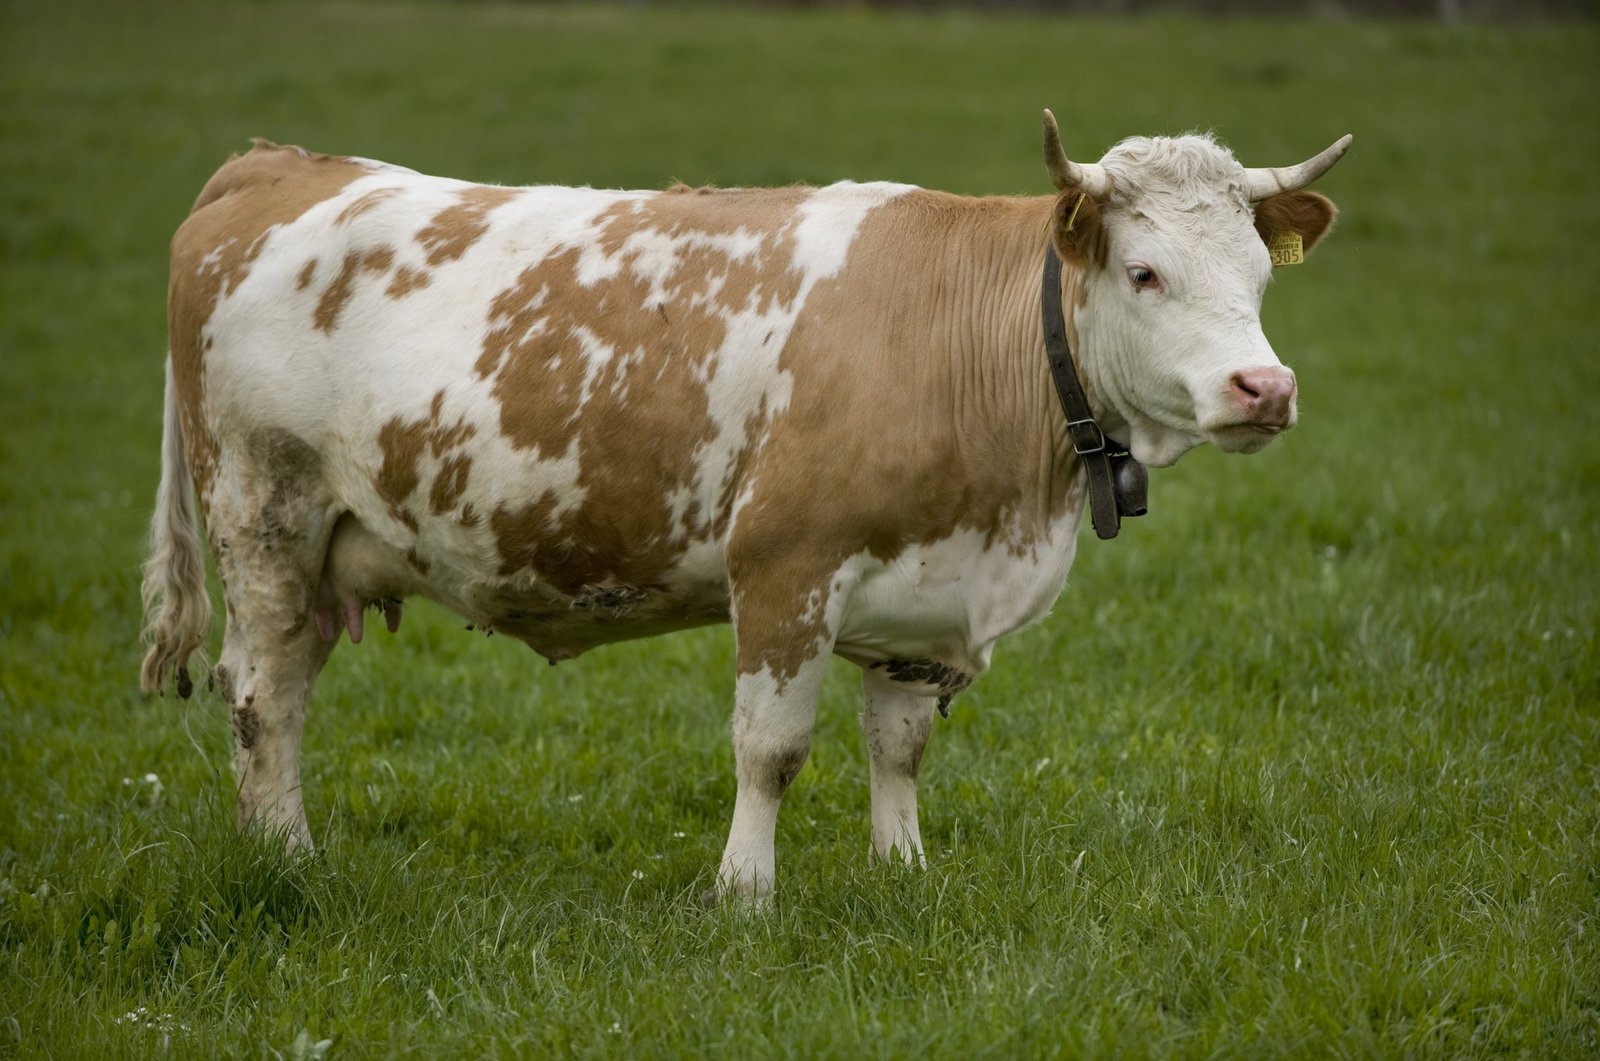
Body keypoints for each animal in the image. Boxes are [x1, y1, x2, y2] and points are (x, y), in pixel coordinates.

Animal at [140, 112, 1348, 900]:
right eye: (1145, 273)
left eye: (1258, 272)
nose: (1266, 387)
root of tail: (272, 164)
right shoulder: (785, 567)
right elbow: (771, 748)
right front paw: (745, 892)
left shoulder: (928, 593)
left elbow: (898, 747)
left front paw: (902, 872)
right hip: (263, 517)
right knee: (264, 695)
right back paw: (285, 857)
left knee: (283, 689)